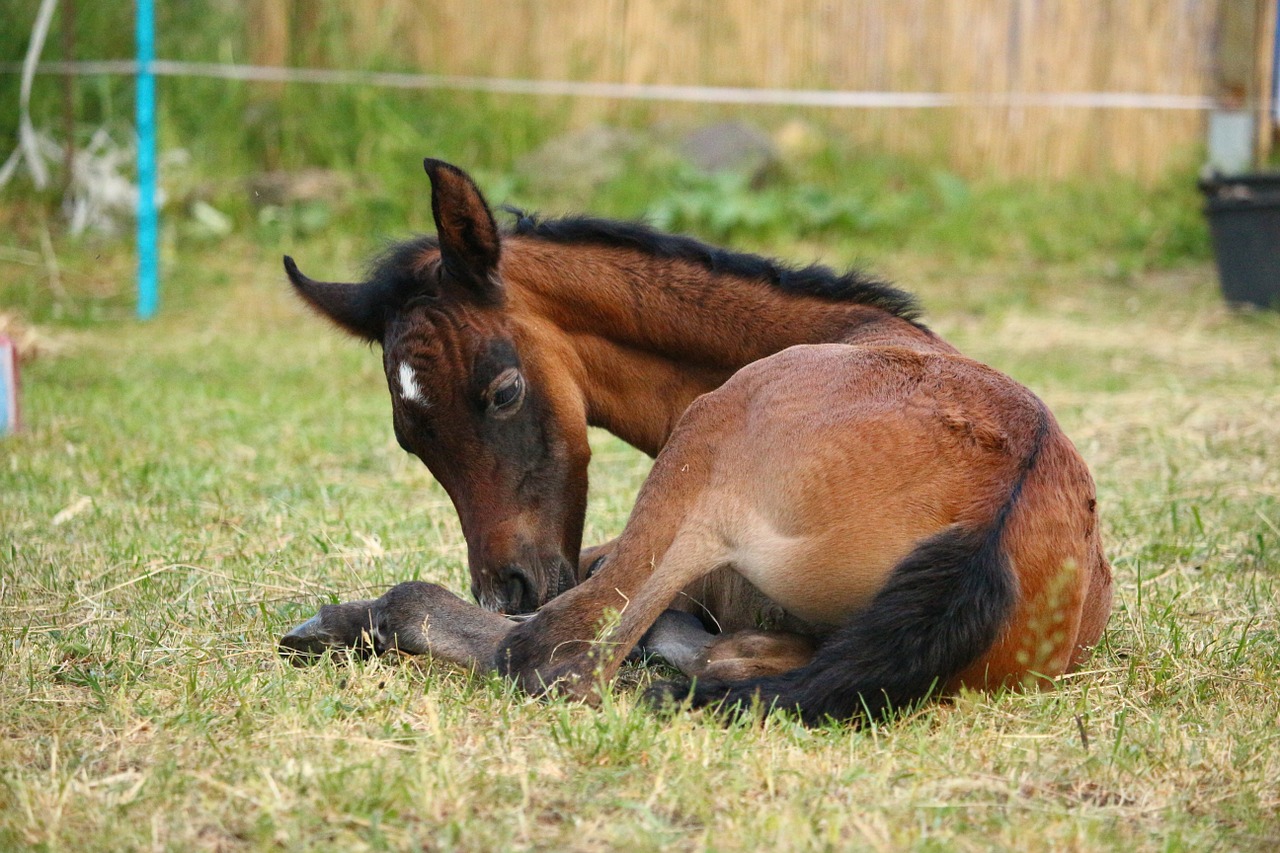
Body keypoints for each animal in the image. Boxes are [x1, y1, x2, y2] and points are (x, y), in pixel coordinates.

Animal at [280, 156, 1111, 722]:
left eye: (505, 392)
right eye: (409, 437)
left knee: (554, 653)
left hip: (699, 457)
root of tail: (992, 513)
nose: (506, 586)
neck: (845, 328)